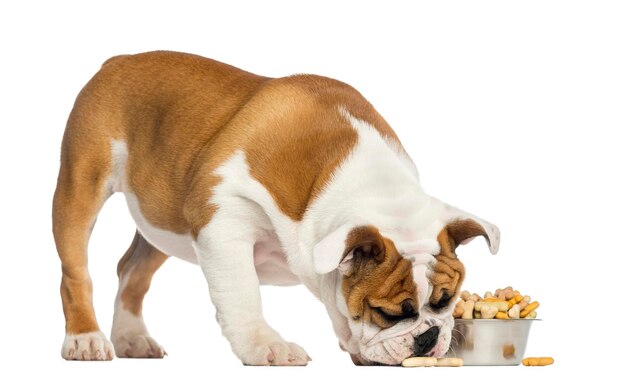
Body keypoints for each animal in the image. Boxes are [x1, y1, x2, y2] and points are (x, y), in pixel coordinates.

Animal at [52, 51, 498, 366]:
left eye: (445, 300)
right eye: (385, 313)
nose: (428, 337)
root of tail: (118, 61)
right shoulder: (223, 220)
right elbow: (243, 294)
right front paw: (265, 346)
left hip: (160, 222)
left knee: (132, 269)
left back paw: (131, 338)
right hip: (81, 184)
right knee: (76, 272)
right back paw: (85, 339)